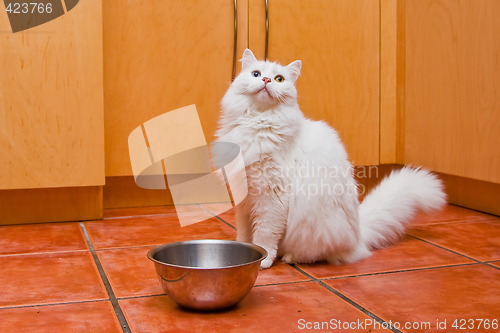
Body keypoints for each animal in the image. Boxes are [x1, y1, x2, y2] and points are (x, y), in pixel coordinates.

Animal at [214, 48, 446, 268]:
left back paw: (290, 257)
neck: (257, 123)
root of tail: (359, 235)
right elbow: (245, 233)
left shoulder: (272, 197)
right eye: (256, 74)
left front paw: (263, 261)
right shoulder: (244, 199)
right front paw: (245, 251)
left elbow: (265, 236)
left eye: (279, 79)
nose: (266, 80)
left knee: (317, 254)